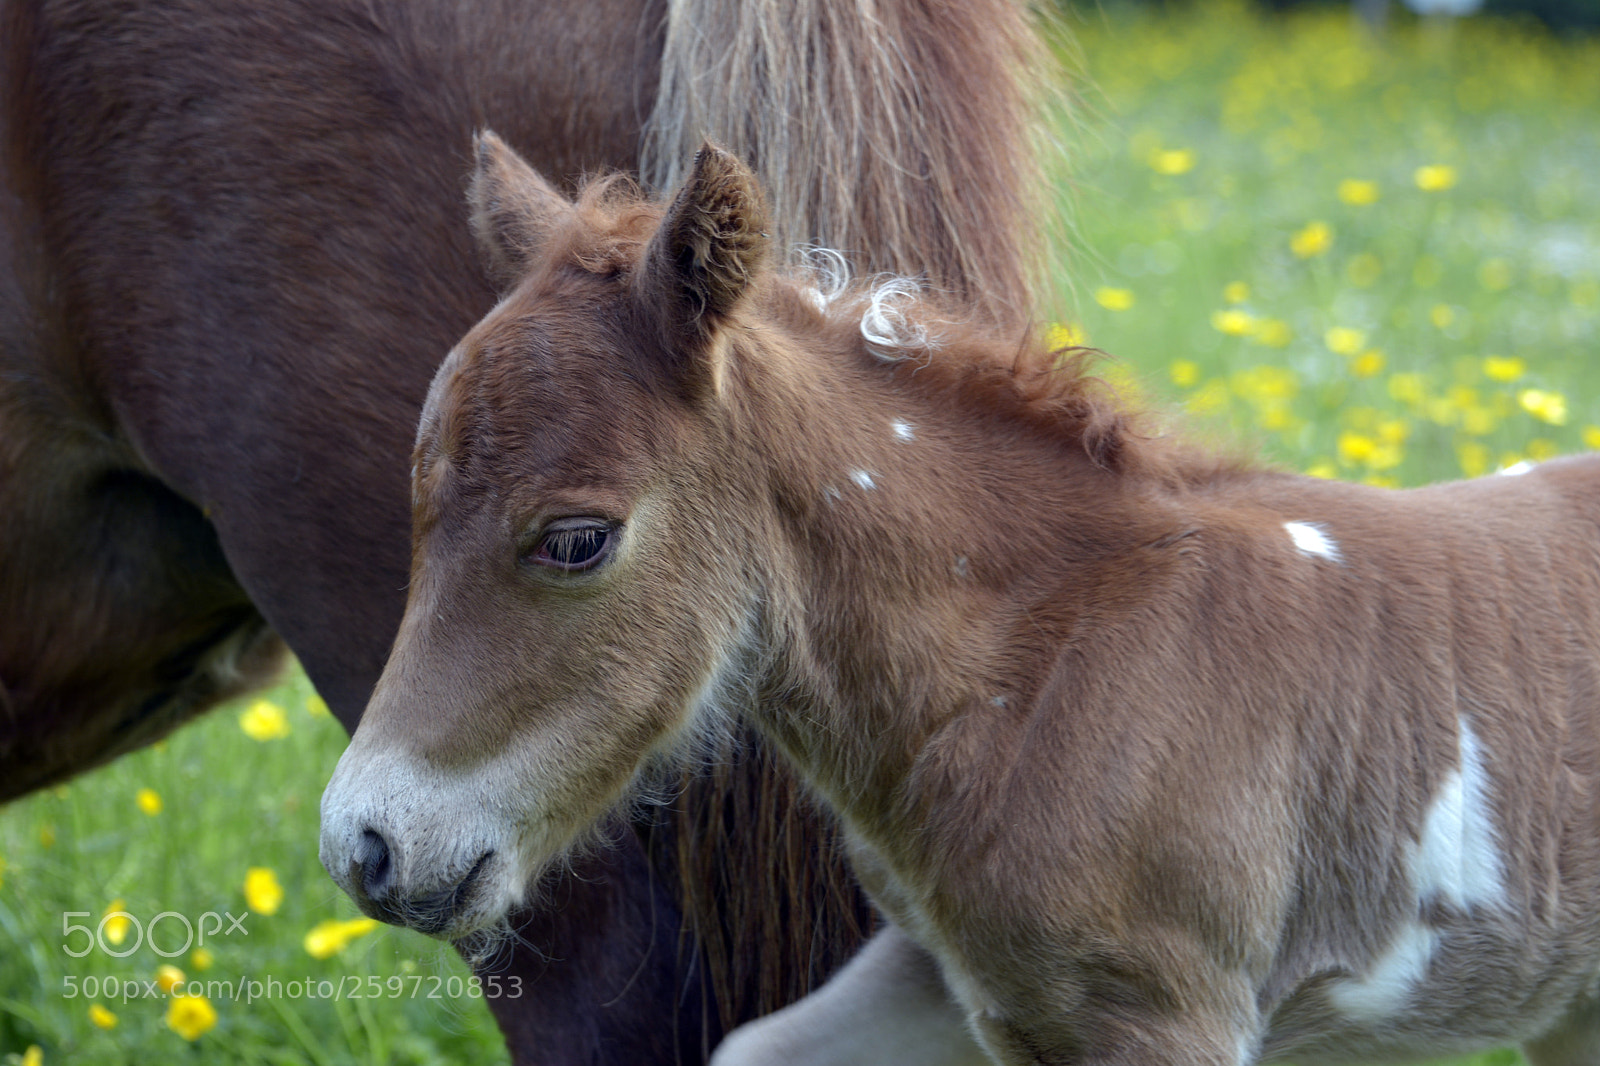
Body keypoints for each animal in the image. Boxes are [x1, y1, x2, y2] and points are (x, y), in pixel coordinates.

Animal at [321, 136, 1600, 1066]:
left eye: (577, 540)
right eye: (418, 500)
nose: (364, 846)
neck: (1044, 661)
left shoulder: (1162, 1014)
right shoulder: (950, 974)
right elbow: (757, 1048)